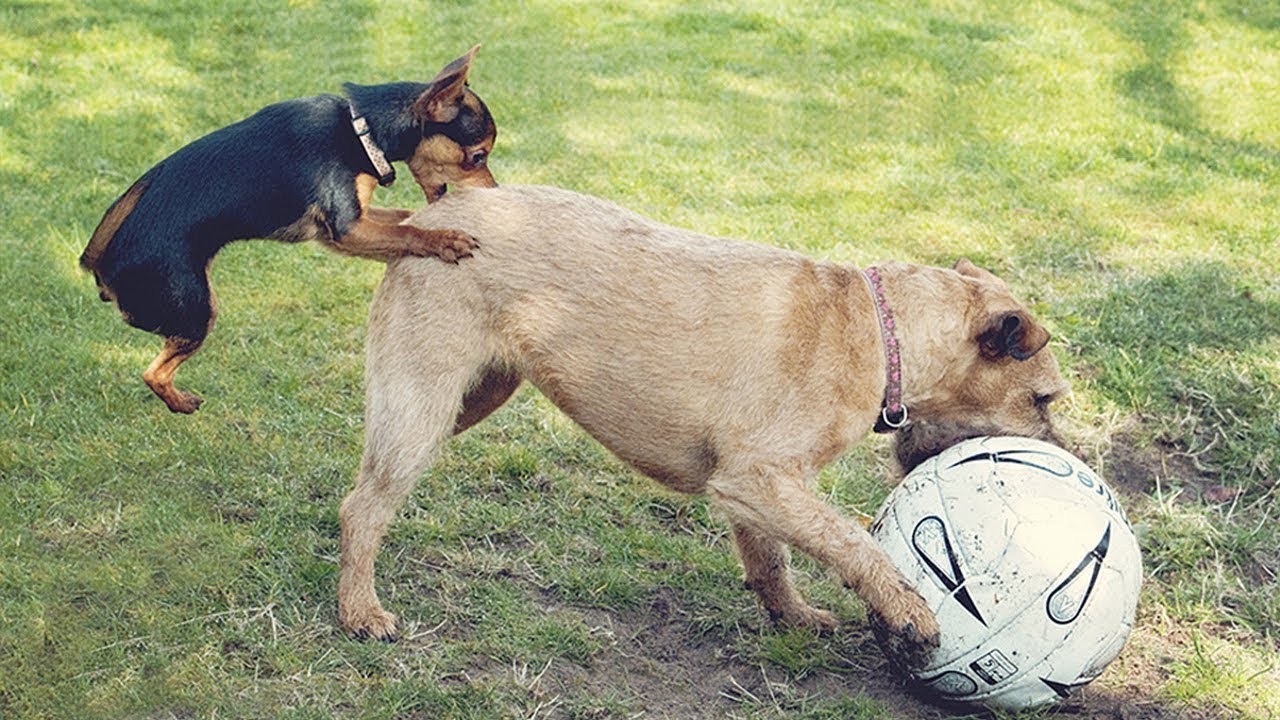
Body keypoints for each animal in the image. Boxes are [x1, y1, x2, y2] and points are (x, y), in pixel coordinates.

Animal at [80, 47, 496, 412]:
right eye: (478, 157)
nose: (495, 190)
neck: (362, 130)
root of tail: (102, 270)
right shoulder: (347, 229)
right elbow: (409, 233)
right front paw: (445, 240)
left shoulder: (347, 225)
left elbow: (406, 217)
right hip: (196, 310)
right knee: (153, 373)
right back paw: (181, 402)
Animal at [332, 185, 1070, 661]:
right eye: (1043, 400)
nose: (1072, 464)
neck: (879, 332)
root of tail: (426, 218)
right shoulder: (759, 478)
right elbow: (853, 543)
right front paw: (907, 608)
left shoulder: (759, 491)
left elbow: (771, 561)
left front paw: (792, 616)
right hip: (424, 409)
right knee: (363, 506)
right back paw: (360, 611)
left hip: (469, 398)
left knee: (361, 486)